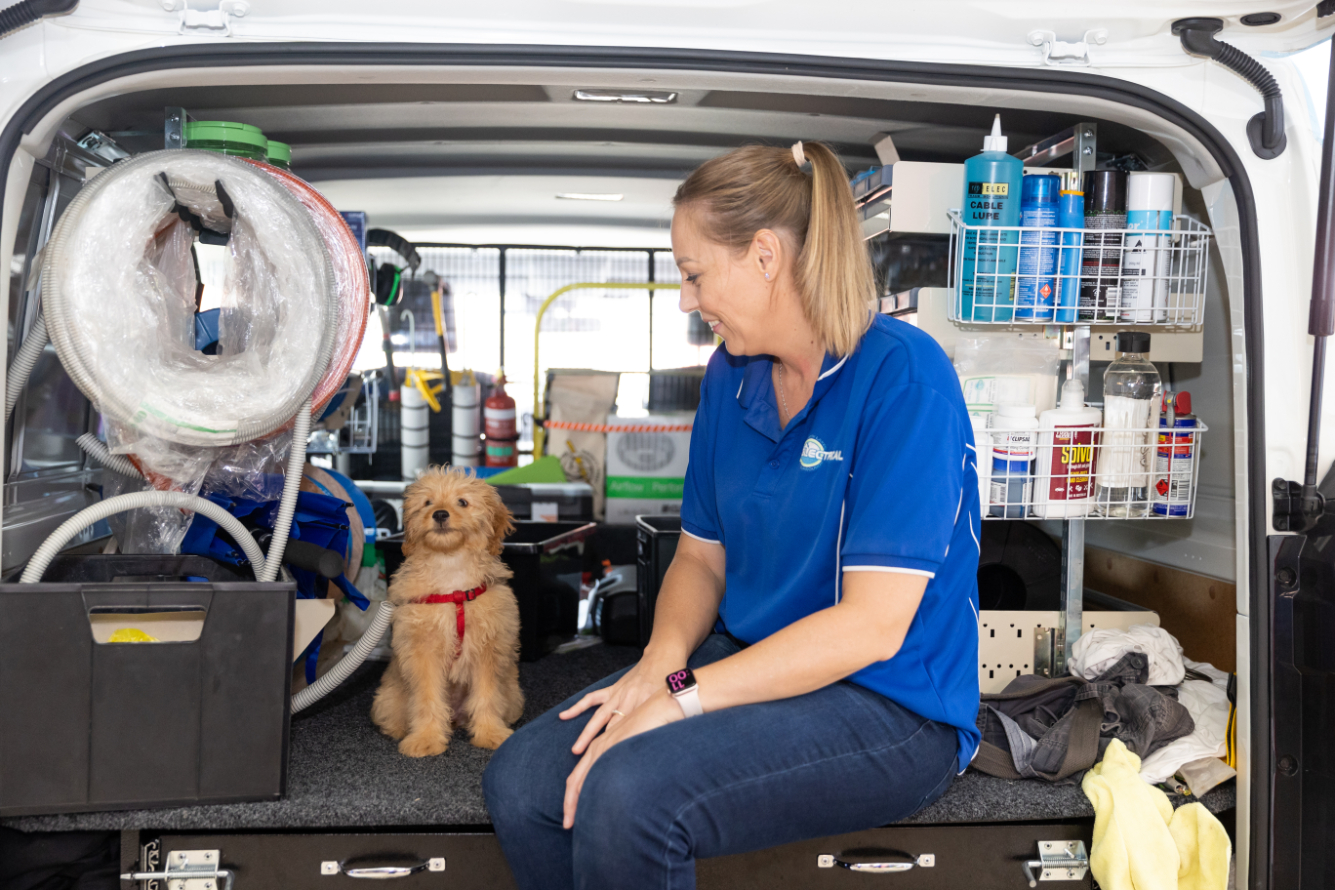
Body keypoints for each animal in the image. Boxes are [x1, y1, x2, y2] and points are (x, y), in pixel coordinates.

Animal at [373, 467, 528, 757]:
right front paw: (426, 738)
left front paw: (490, 733)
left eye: (463, 502)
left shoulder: (488, 650)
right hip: (388, 701)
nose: (440, 514)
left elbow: (487, 696)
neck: (450, 568)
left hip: (513, 695)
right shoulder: (423, 653)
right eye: (427, 503)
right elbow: (427, 698)